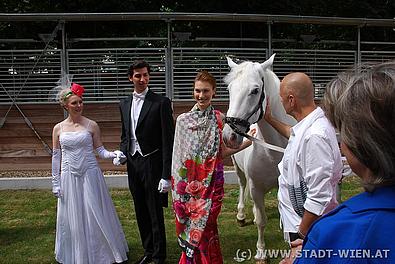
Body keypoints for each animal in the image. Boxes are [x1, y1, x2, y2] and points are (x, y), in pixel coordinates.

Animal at [223, 54, 296, 260]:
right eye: (230, 89)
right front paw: (261, 252)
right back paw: (241, 215)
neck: (272, 151)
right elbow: (262, 222)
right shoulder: (255, 188)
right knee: (242, 185)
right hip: (238, 169)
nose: (229, 136)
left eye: (255, 90)